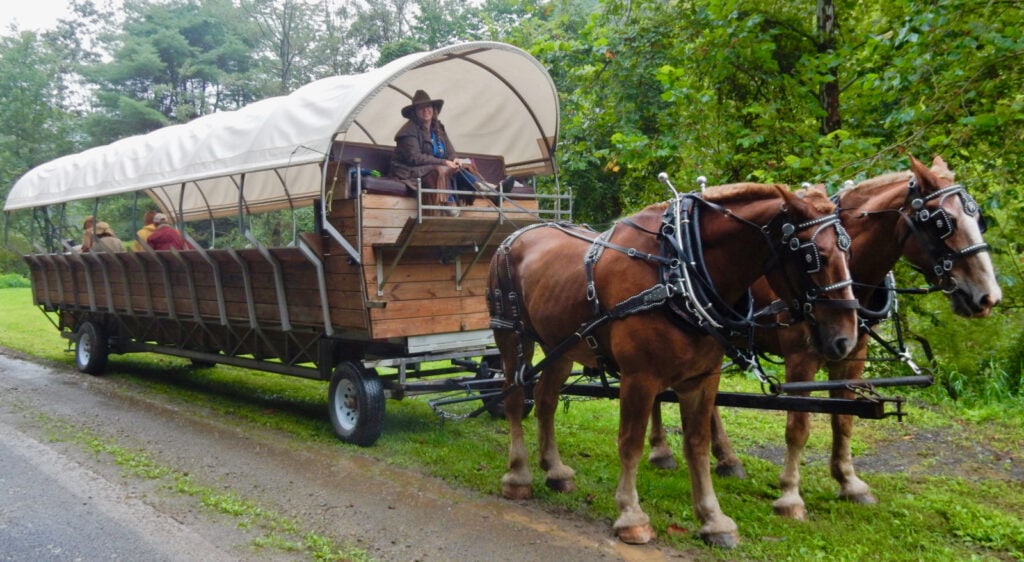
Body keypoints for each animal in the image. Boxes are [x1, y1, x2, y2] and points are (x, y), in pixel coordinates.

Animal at [487, 182, 864, 544]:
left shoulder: (702, 379)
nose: (845, 339)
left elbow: (697, 444)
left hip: (560, 348)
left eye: (849, 251)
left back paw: (554, 469)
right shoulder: (638, 377)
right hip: (511, 336)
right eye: (815, 256)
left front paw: (713, 519)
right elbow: (630, 442)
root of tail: (517, 235)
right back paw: (518, 474)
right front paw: (631, 515)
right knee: (515, 399)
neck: (678, 271)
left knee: (546, 401)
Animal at [647, 154, 999, 522]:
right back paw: (661, 451)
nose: (988, 297)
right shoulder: (800, 358)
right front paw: (790, 495)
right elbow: (798, 426)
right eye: (943, 222)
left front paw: (849, 482)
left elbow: (843, 420)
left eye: (979, 218)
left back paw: (727, 460)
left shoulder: (853, 353)